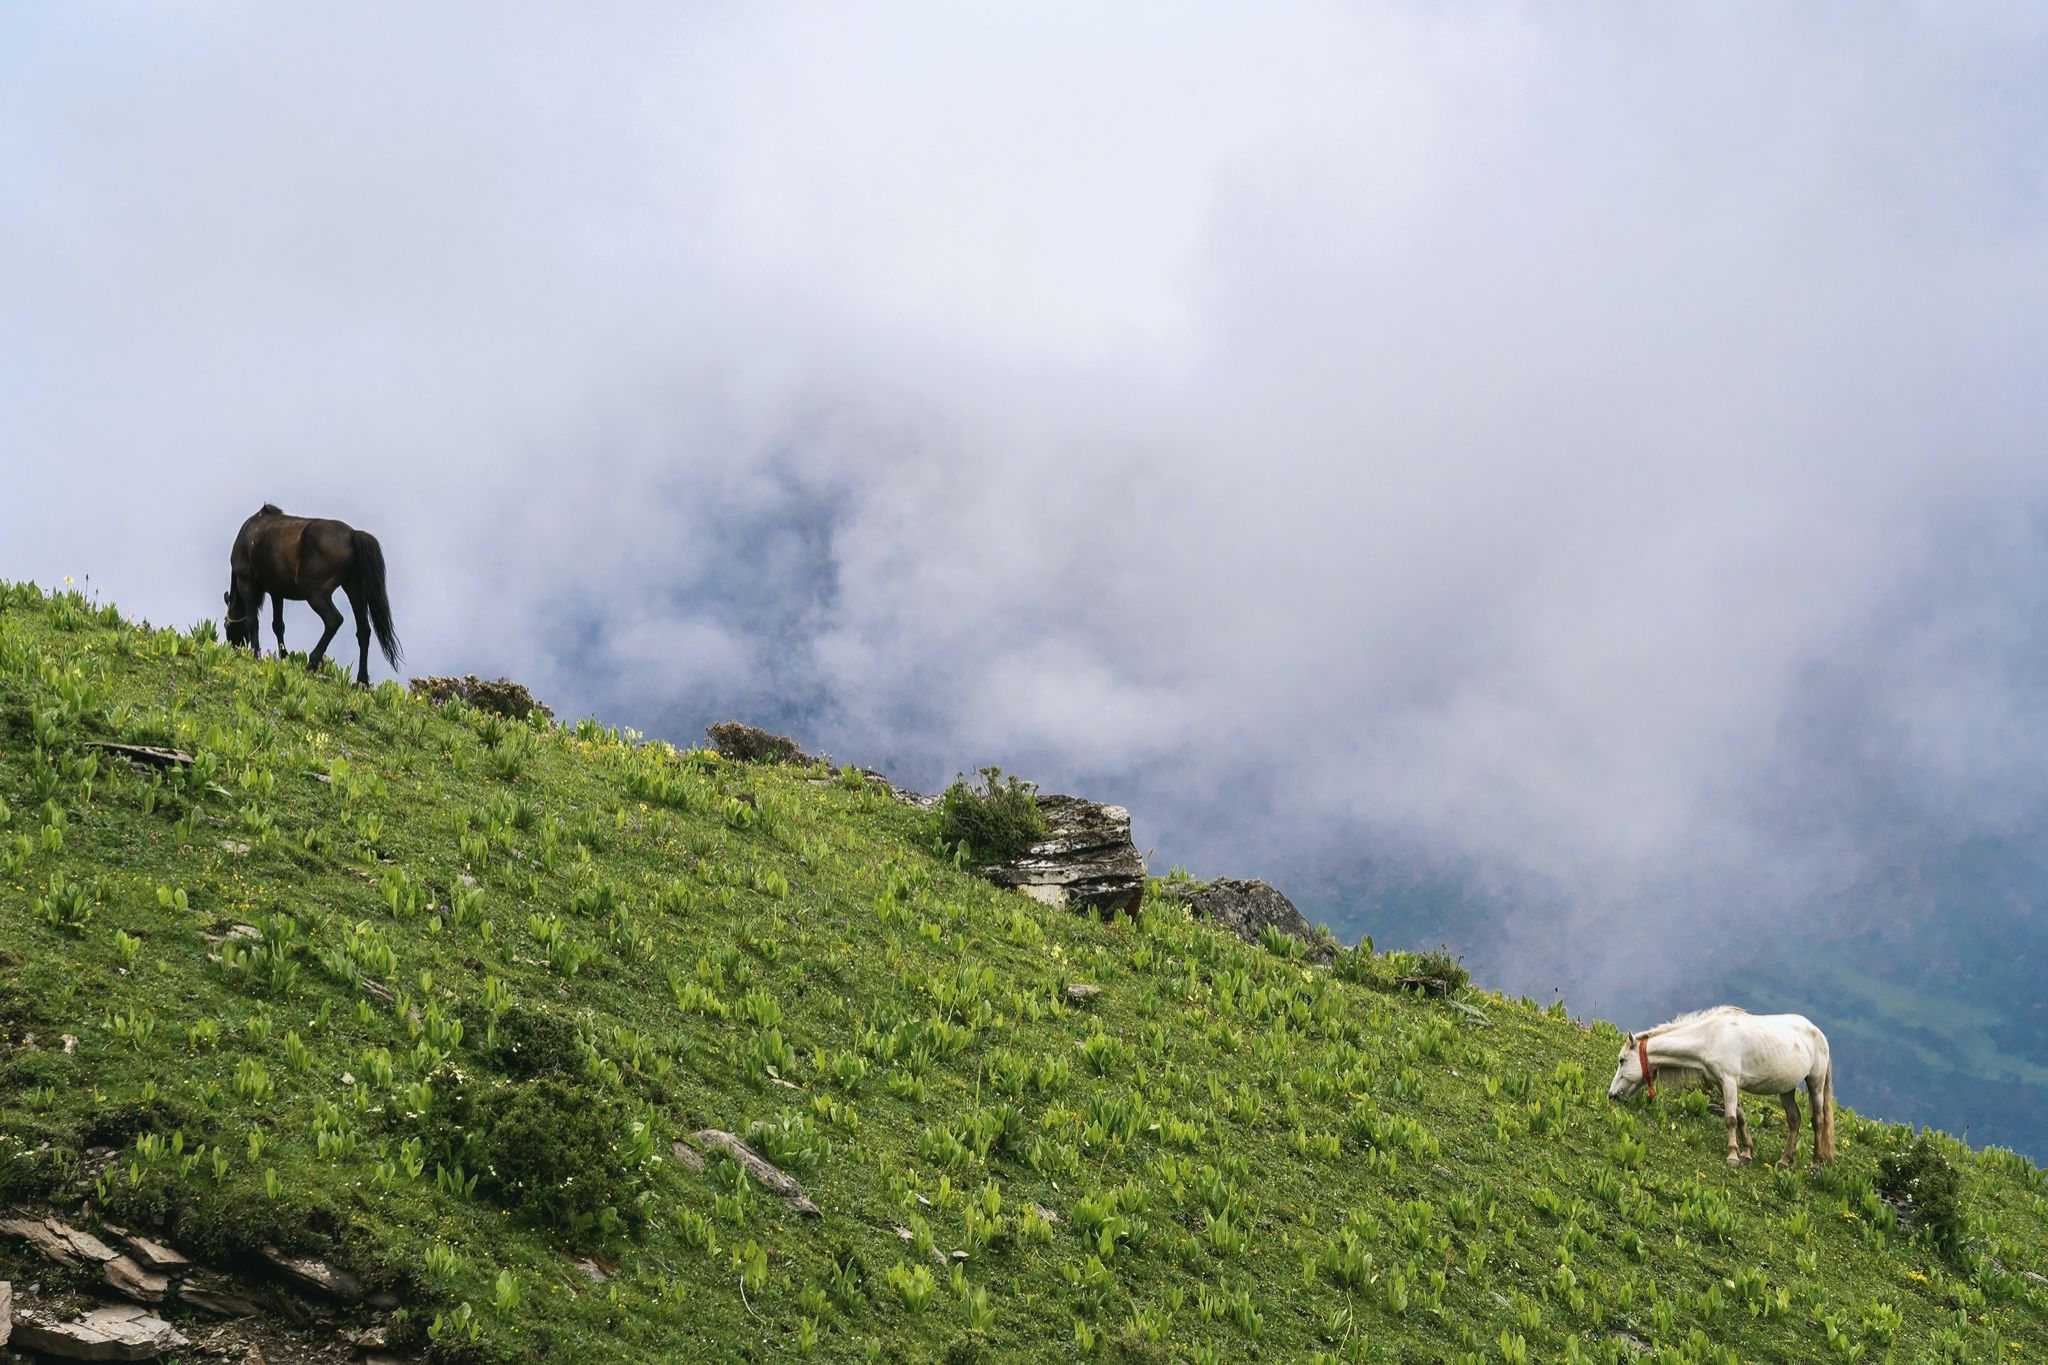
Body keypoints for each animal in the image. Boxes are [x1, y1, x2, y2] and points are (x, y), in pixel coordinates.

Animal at [224, 505, 399, 687]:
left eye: (226, 625)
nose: (234, 645)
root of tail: (352, 534)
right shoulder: (276, 591)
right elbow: (278, 625)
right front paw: (284, 657)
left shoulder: (246, 582)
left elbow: (253, 621)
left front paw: (256, 655)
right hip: (354, 589)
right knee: (363, 631)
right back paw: (362, 681)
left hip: (315, 593)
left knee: (334, 620)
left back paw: (312, 663)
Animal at [1597, 1002, 1843, 1162]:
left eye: (1622, 1060)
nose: (1612, 1095)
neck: (1710, 1037)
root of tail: (1819, 1033)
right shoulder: (1721, 1082)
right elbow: (1740, 1117)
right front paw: (1747, 1152)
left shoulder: (1729, 1080)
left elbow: (1731, 1119)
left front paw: (1733, 1155)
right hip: (1786, 1089)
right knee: (1794, 1120)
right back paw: (1784, 1160)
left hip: (1815, 1082)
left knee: (1818, 1121)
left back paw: (1815, 1162)